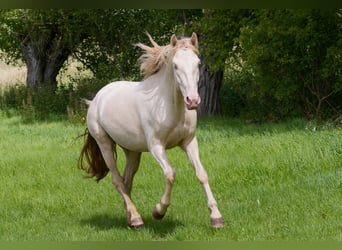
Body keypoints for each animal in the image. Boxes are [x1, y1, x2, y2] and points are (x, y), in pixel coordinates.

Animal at [79, 31, 226, 229]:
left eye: (198, 63)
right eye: (175, 65)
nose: (193, 101)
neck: (171, 107)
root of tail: (96, 98)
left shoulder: (189, 142)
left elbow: (202, 174)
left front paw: (216, 217)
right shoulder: (156, 146)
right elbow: (170, 174)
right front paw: (158, 211)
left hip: (132, 150)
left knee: (127, 181)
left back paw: (131, 218)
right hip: (104, 144)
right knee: (117, 180)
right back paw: (136, 218)